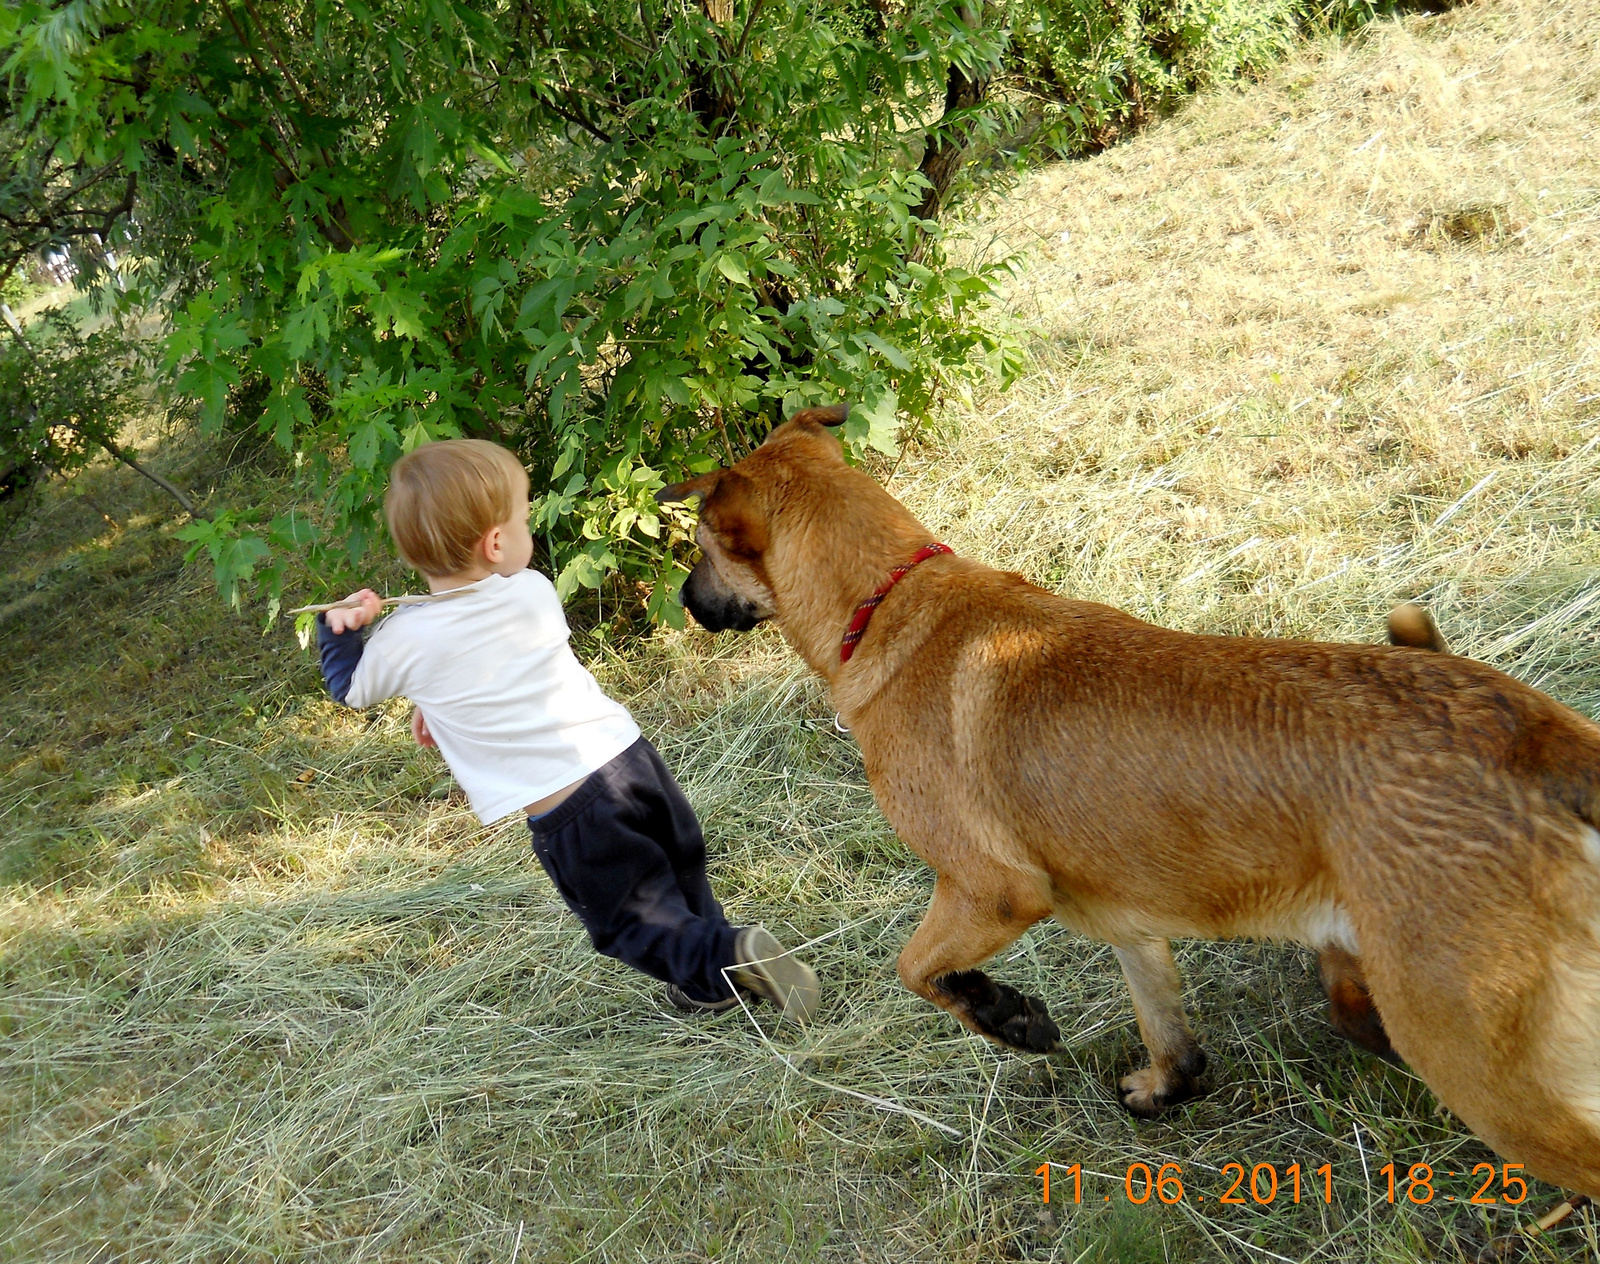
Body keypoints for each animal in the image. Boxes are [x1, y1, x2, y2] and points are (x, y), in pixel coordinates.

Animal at [656, 406, 1600, 1196]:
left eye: (698, 546)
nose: (687, 604)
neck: (889, 600)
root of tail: (1531, 740)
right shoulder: (1126, 921)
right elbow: (1165, 1028)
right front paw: (1164, 1086)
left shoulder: (990, 891)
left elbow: (916, 969)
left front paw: (1008, 1016)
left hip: (1480, 1060)